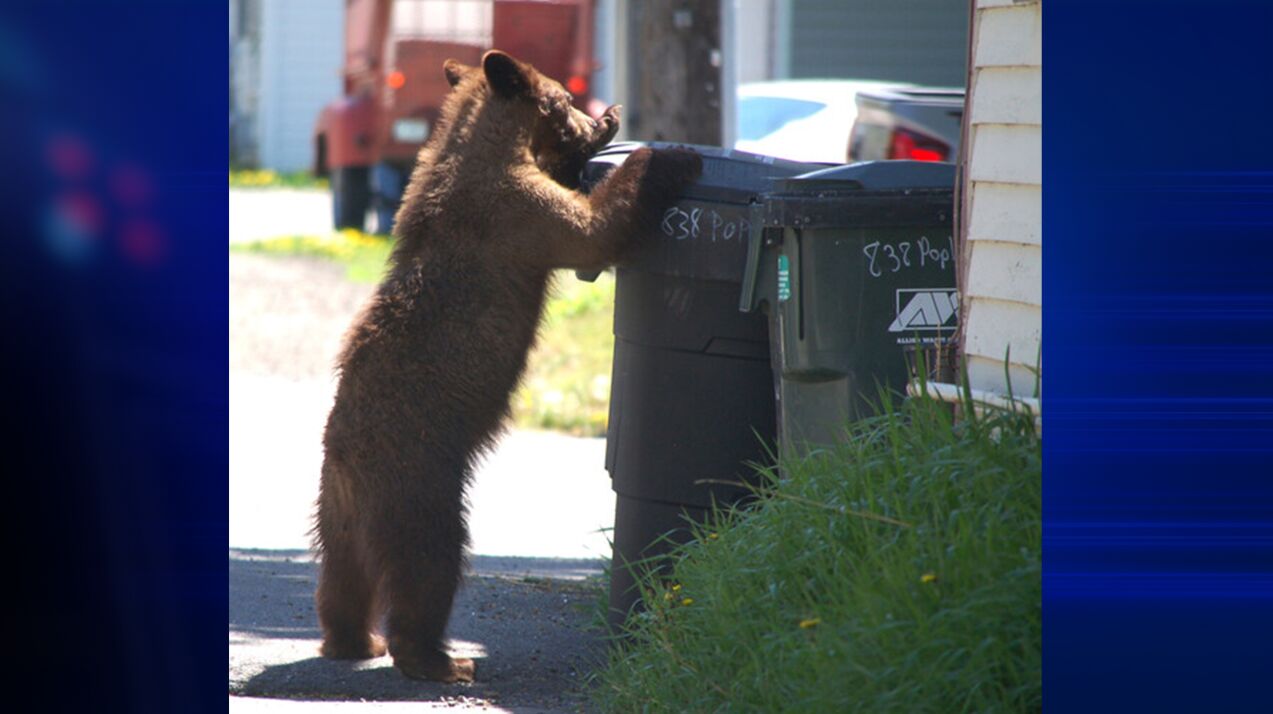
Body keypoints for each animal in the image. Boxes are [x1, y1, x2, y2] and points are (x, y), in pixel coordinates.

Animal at [311, 47, 702, 682]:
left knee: (342, 578)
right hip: (417, 488)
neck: (488, 147)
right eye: (564, 98)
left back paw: (353, 640)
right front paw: (666, 154)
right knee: (430, 564)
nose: (601, 115)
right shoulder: (514, 211)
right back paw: (439, 659)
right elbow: (591, 230)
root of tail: (344, 457)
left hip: (337, 512)